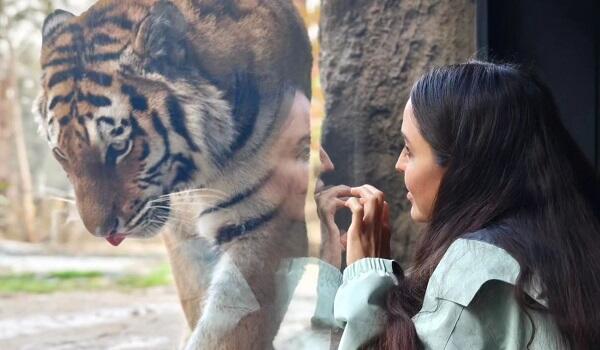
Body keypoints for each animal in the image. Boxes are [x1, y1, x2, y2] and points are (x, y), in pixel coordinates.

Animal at [34, 1, 314, 348]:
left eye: (119, 146)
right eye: (61, 154)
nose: (100, 231)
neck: (192, 182)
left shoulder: (265, 222)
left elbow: (230, 327)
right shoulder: (183, 239)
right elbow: (198, 305)